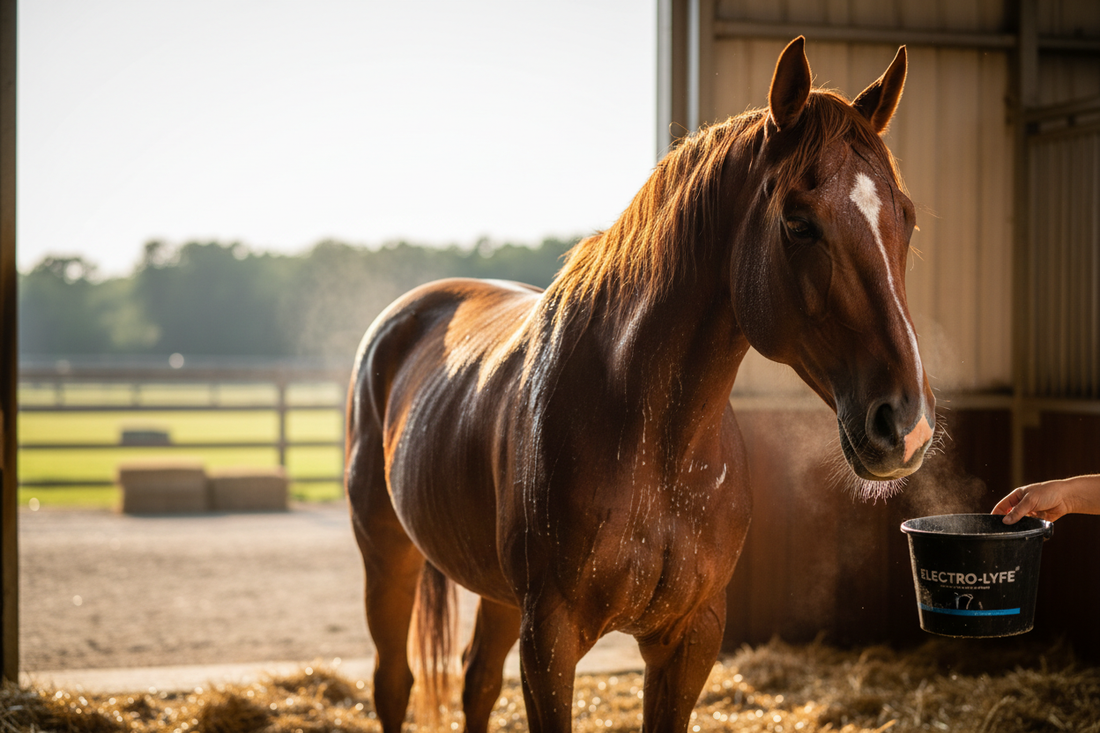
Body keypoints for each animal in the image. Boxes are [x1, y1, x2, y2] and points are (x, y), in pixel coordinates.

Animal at [345, 36, 934, 732]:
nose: (905, 425)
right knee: (394, 682)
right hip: (388, 556)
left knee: (477, 681)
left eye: (907, 218)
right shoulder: (549, 640)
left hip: (497, 595)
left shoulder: (690, 638)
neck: (654, 442)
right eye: (798, 222)